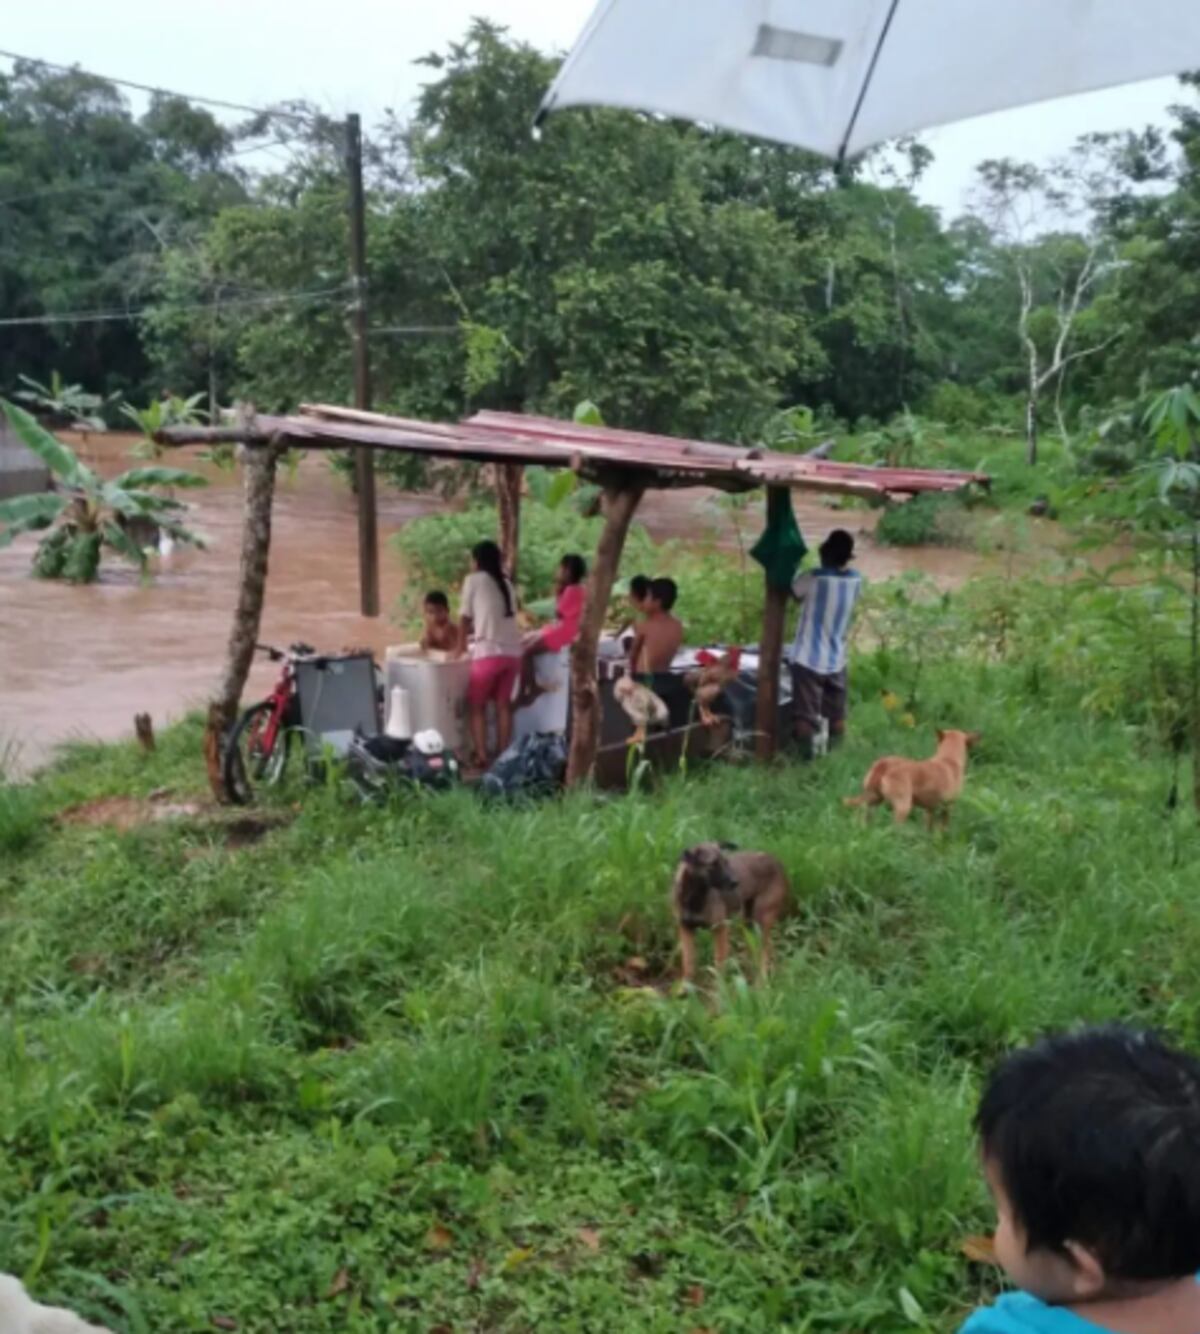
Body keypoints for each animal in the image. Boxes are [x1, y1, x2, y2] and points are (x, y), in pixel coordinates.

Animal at [669, 837, 794, 987]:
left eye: (726, 862)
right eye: (713, 864)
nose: (736, 882)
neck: (694, 897)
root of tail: (777, 862)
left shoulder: (720, 929)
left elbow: (719, 963)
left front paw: (720, 988)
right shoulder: (686, 929)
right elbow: (689, 963)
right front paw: (686, 987)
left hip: (762, 920)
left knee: (764, 952)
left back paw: (761, 983)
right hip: (748, 923)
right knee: (761, 950)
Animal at [848, 731, 981, 821]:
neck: (948, 759)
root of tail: (884, 764)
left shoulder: (930, 810)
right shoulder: (946, 808)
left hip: (872, 802)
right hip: (903, 807)